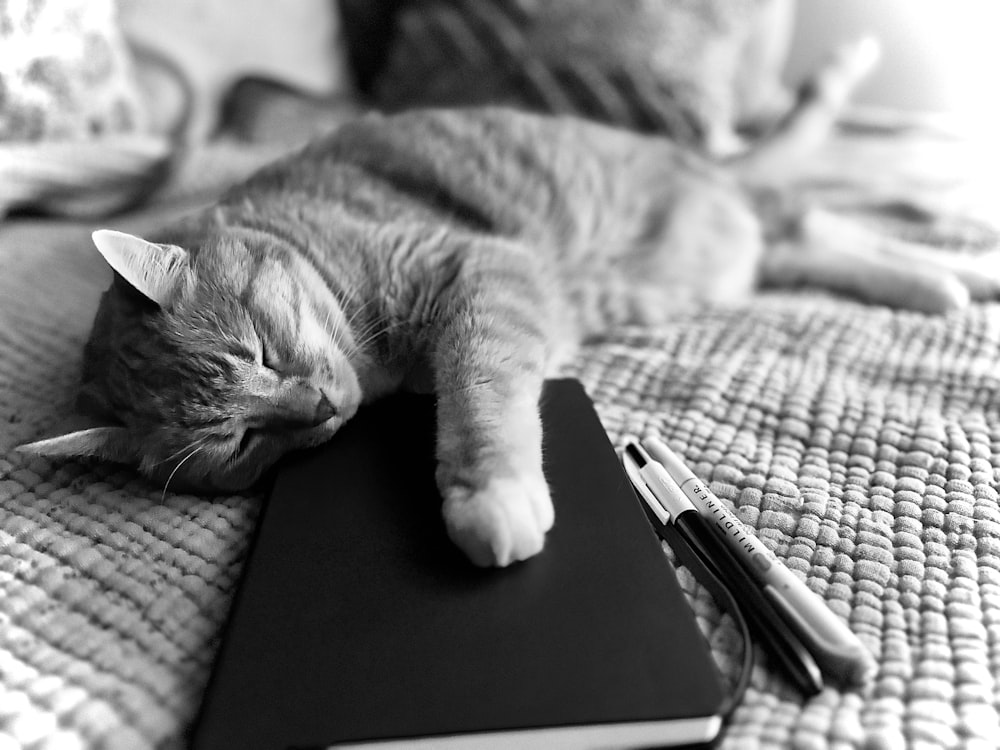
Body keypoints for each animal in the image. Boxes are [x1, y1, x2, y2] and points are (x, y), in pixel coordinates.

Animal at [17, 38, 1000, 568]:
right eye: (241, 442)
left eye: (260, 347)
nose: (320, 406)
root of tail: (698, 159)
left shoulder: (481, 274)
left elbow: (481, 392)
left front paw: (490, 491)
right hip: (727, 255)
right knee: (809, 237)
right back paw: (946, 280)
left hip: (731, 221)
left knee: (822, 216)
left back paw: (957, 269)